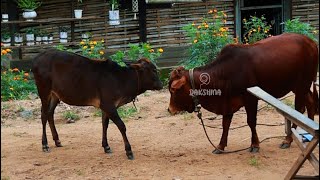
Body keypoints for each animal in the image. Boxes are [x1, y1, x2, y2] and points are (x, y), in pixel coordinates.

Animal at [32, 48, 162, 159]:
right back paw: (45, 144)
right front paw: (129, 151)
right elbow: (121, 126)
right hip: (44, 91)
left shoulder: (105, 106)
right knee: (43, 115)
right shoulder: (109, 105)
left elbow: (105, 124)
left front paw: (106, 146)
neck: (121, 79)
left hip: (55, 95)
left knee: (50, 114)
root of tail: (38, 57)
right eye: (154, 70)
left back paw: (57, 140)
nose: (161, 85)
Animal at [169, 33, 318, 153]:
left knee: (299, 110)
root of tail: (311, 42)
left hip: (302, 84)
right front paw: (220, 146)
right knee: (310, 103)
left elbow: (251, 121)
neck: (225, 73)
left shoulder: (250, 98)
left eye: (174, 89)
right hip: (299, 87)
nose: (170, 109)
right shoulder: (227, 101)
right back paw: (309, 134)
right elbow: (225, 124)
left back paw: (288, 140)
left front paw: (255, 145)